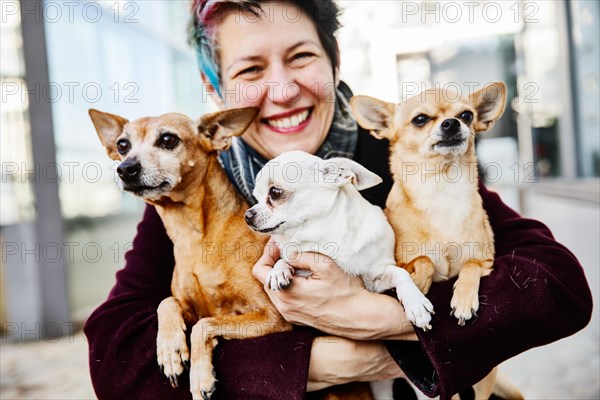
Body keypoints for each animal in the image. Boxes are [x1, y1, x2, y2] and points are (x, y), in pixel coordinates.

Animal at [89, 108, 292, 398]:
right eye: (122, 145)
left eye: (168, 139)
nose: (125, 168)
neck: (194, 236)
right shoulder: (188, 306)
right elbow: (167, 302)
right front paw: (170, 349)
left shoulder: (272, 316)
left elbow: (204, 324)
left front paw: (199, 378)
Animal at [350, 83, 524, 400]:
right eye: (420, 119)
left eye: (467, 115)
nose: (452, 123)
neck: (442, 188)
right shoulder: (401, 261)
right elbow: (424, 261)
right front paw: (419, 287)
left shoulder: (486, 261)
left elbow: (469, 266)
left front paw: (464, 300)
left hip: (486, 376)